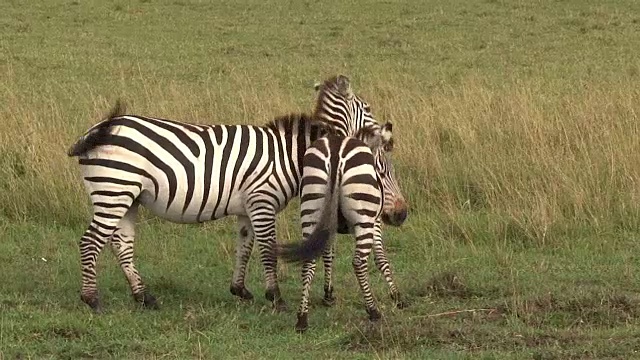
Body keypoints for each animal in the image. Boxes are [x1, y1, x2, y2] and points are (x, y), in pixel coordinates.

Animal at [67, 74, 382, 310]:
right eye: (368, 109)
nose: (386, 131)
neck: (289, 153)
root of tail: (94, 131)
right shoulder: (263, 202)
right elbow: (267, 249)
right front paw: (276, 298)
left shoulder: (248, 208)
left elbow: (245, 247)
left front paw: (239, 290)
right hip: (114, 191)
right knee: (90, 242)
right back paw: (91, 299)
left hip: (126, 196)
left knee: (121, 244)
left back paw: (144, 297)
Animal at [278, 121, 408, 332]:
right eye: (383, 173)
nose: (401, 215)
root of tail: (336, 154)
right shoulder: (375, 222)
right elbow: (381, 259)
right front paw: (397, 296)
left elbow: (328, 254)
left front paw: (328, 294)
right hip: (364, 217)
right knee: (358, 262)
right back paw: (373, 311)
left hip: (311, 207)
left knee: (308, 261)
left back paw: (302, 318)